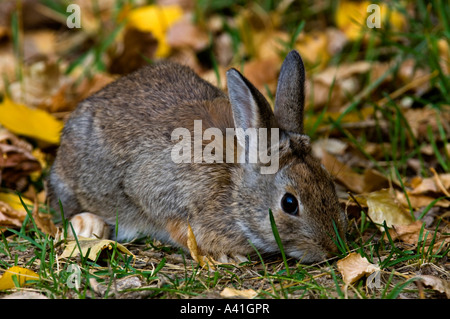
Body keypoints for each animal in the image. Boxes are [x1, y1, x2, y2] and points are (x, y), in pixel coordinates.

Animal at [46, 50, 348, 264]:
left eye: (328, 182)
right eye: (289, 203)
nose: (331, 249)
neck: (233, 187)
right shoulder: (160, 195)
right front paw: (225, 255)